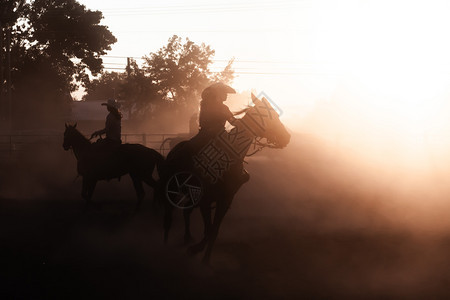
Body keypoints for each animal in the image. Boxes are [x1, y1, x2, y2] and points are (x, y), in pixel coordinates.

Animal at [162, 93, 292, 262]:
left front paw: (204, 255)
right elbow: (209, 228)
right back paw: (166, 243)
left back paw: (187, 238)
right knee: (169, 215)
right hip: (171, 188)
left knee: (186, 212)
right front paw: (198, 250)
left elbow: (214, 230)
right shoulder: (205, 200)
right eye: (272, 116)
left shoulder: (225, 200)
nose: (287, 137)